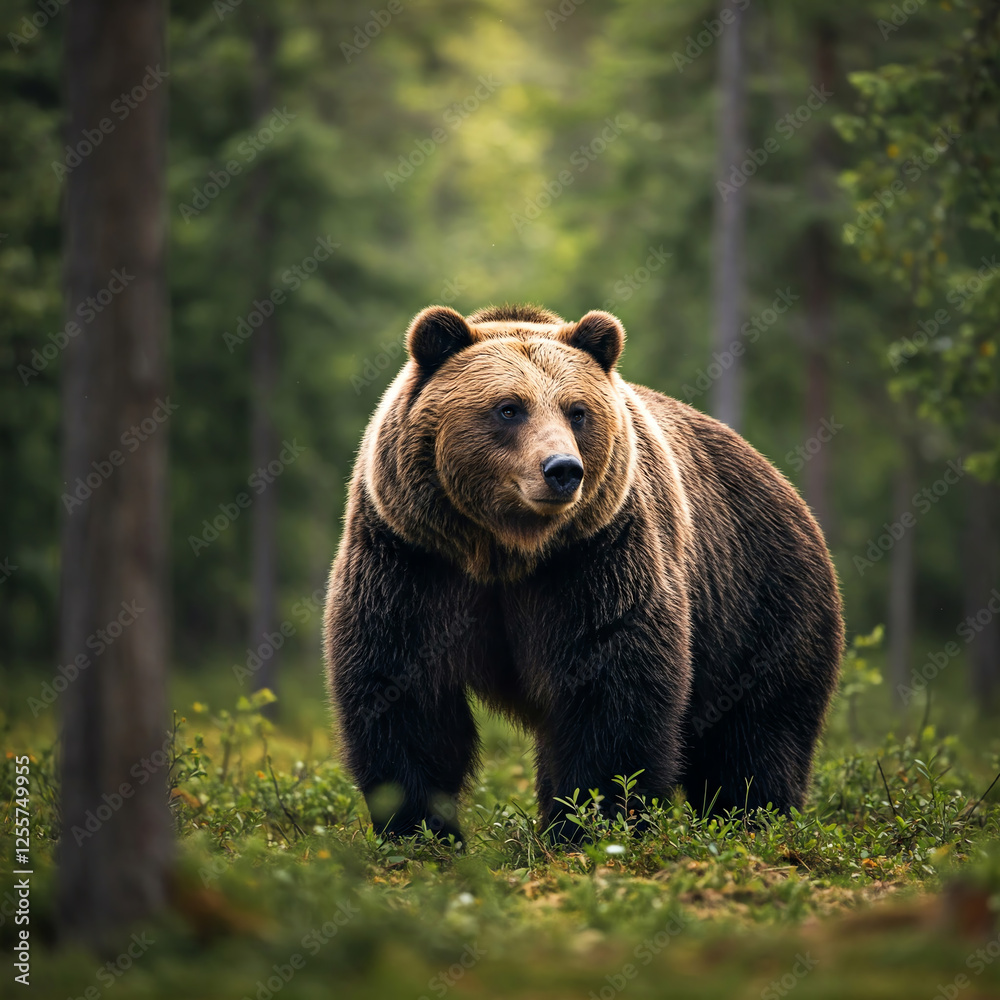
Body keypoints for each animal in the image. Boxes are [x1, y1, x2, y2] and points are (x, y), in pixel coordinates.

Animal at [324, 303, 843, 843]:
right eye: (509, 408)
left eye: (577, 411)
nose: (562, 469)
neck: (506, 550)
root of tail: (781, 482)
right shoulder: (412, 556)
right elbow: (401, 690)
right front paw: (418, 828)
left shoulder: (597, 556)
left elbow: (611, 688)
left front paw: (593, 822)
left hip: (759, 600)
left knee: (756, 732)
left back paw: (754, 820)